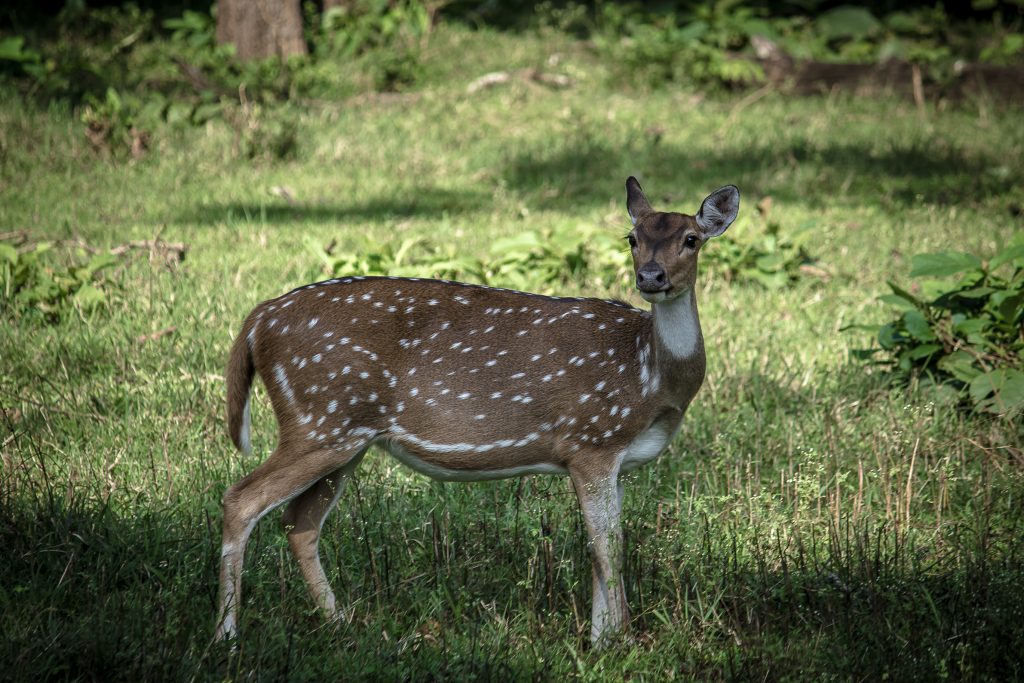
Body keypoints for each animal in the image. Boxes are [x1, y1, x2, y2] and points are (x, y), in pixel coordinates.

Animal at [214, 177, 739, 646]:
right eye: (632, 239)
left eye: (691, 239)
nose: (651, 277)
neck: (648, 376)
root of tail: (257, 320)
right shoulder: (590, 439)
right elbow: (609, 546)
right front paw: (623, 642)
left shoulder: (617, 460)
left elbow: (600, 544)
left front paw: (600, 640)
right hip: (319, 419)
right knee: (241, 499)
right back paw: (227, 635)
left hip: (345, 435)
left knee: (299, 523)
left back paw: (343, 623)